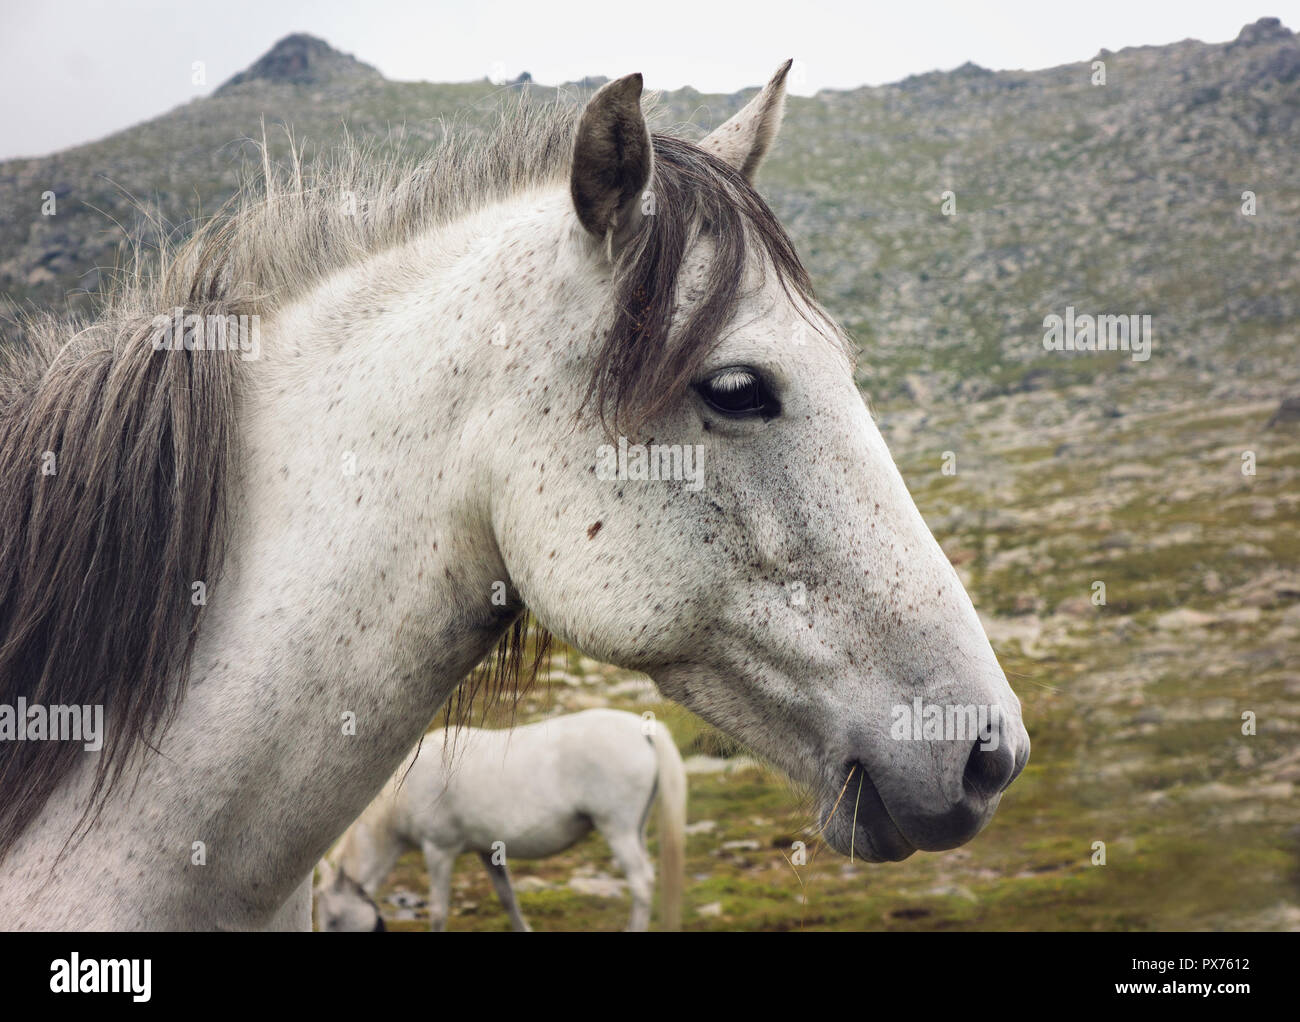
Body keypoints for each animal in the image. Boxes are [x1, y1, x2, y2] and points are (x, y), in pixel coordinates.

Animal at [313, 707, 686, 930]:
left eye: (331, 919)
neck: (408, 789)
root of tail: (643, 729)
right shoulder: (487, 851)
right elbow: (507, 897)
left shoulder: (439, 851)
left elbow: (437, 911)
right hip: (634, 830)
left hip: (617, 829)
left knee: (641, 883)